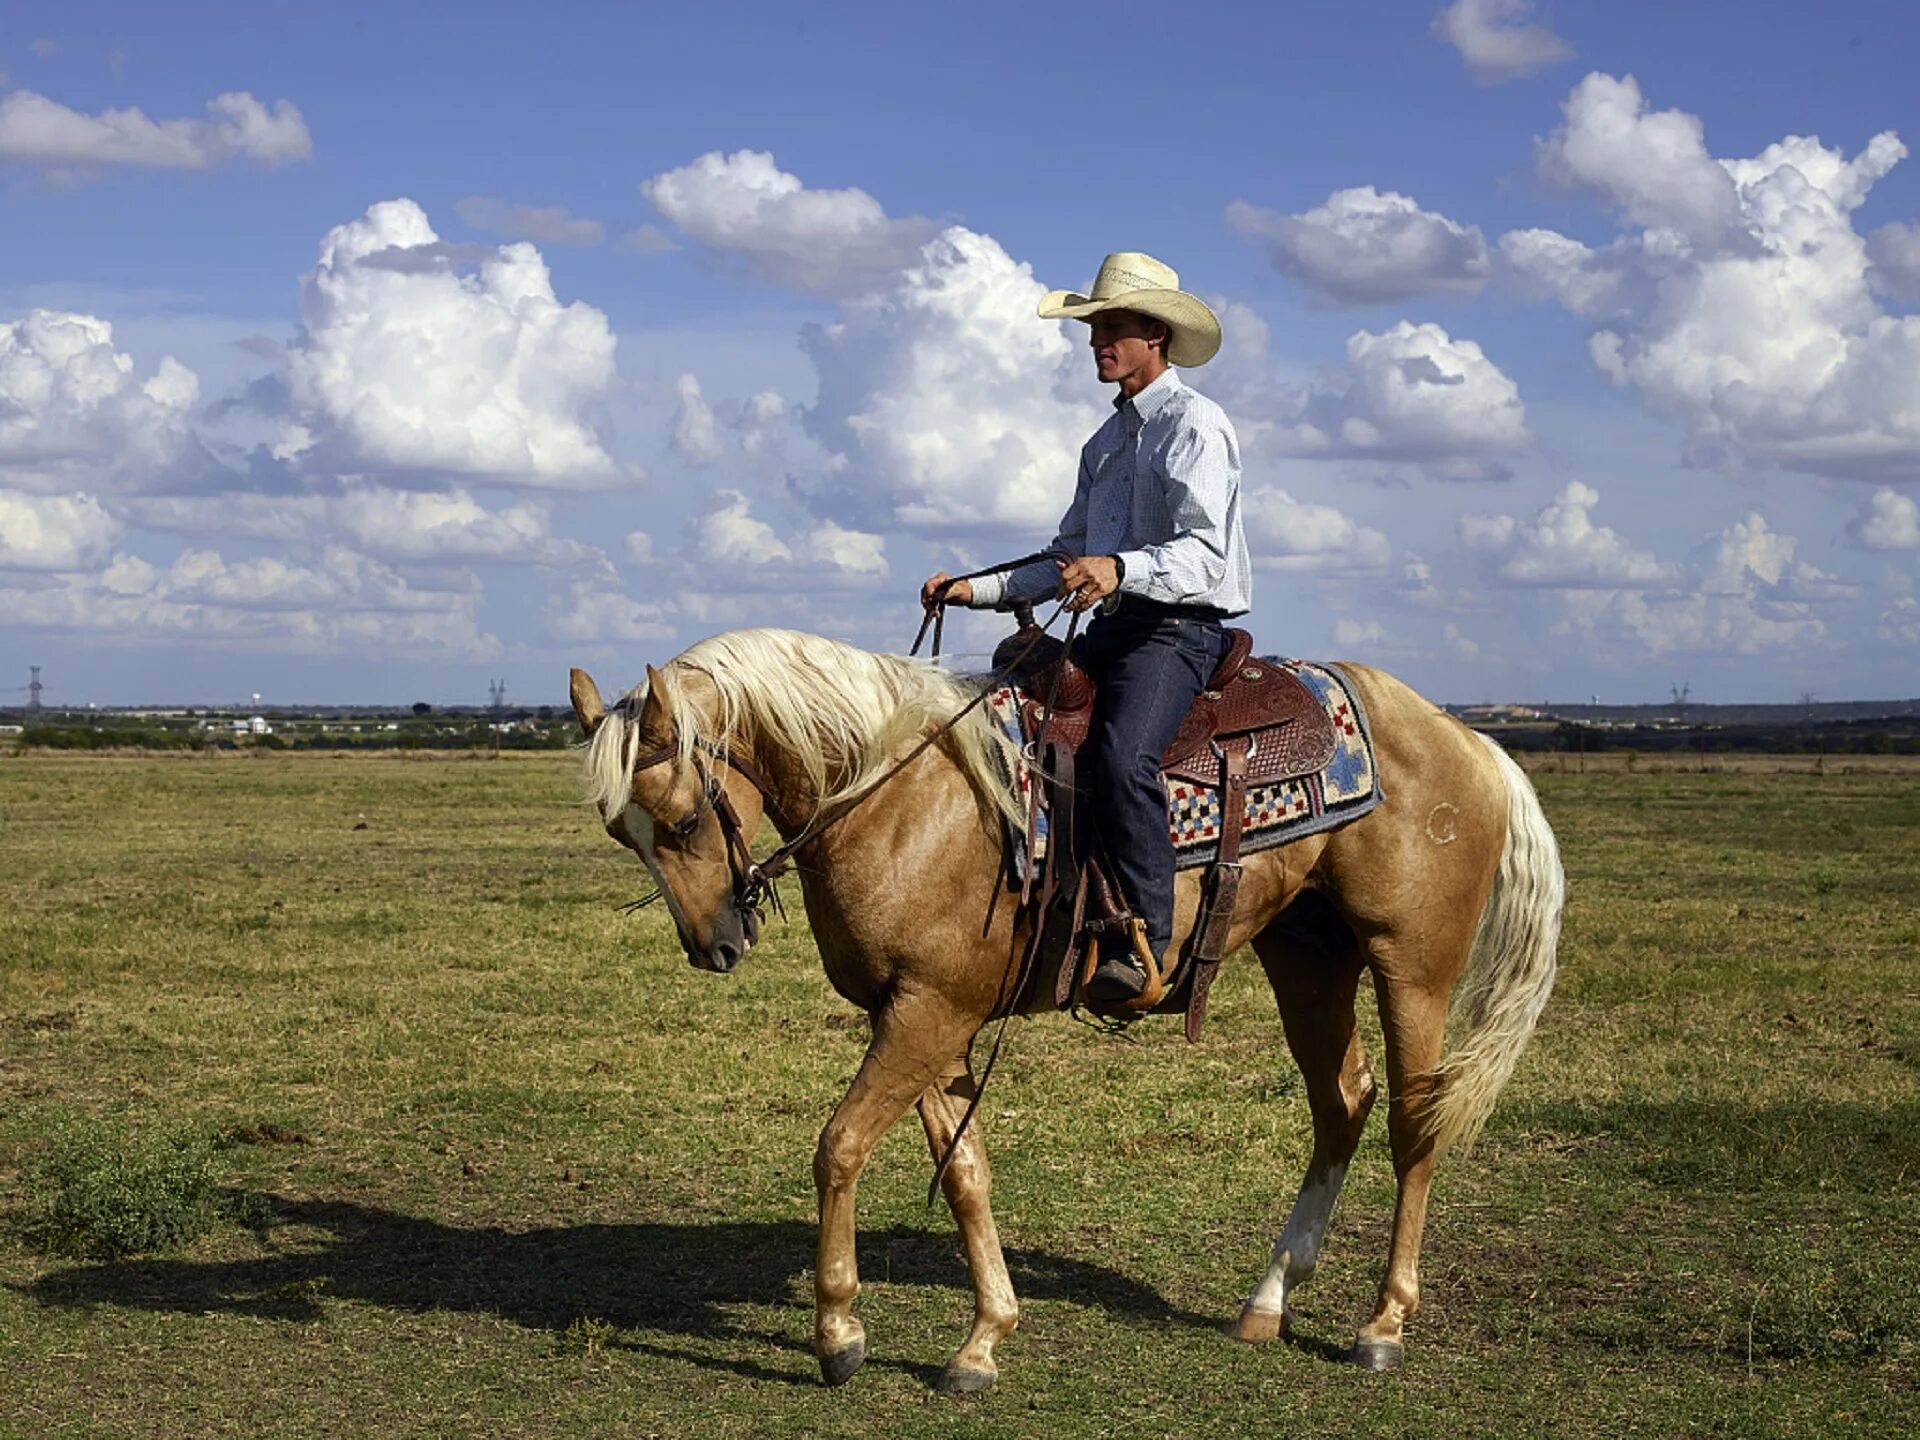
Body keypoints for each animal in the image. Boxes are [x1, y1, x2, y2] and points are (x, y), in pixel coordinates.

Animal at [564, 629, 1559, 1397]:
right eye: (621, 831)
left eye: (683, 820)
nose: (714, 945)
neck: (900, 796)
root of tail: (1466, 737)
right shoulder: (930, 1018)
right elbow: (965, 1173)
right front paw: (982, 1341)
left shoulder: (923, 1014)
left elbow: (838, 1148)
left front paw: (839, 1335)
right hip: (1308, 956)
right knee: (1341, 1104)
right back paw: (1269, 1299)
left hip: (1411, 967)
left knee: (1413, 1123)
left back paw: (1383, 1325)